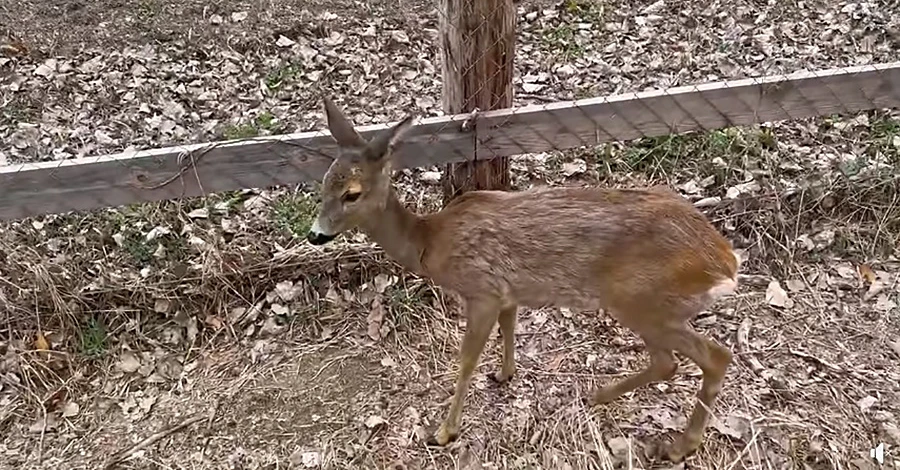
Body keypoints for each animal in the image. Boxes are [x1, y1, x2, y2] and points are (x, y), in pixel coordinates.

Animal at [306, 96, 740, 462]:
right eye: (322, 183)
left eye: (352, 193)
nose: (315, 235)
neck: (431, 243)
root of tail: (725, 262)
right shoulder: (507, 292)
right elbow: (509, 327)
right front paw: (504, 373)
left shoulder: (480, 289)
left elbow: (466, 360)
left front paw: (445, 432)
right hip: (648, 306)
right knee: (670, 362)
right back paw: (599, 396)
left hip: (643, 302)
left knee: (711, 357)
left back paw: (678, 445)